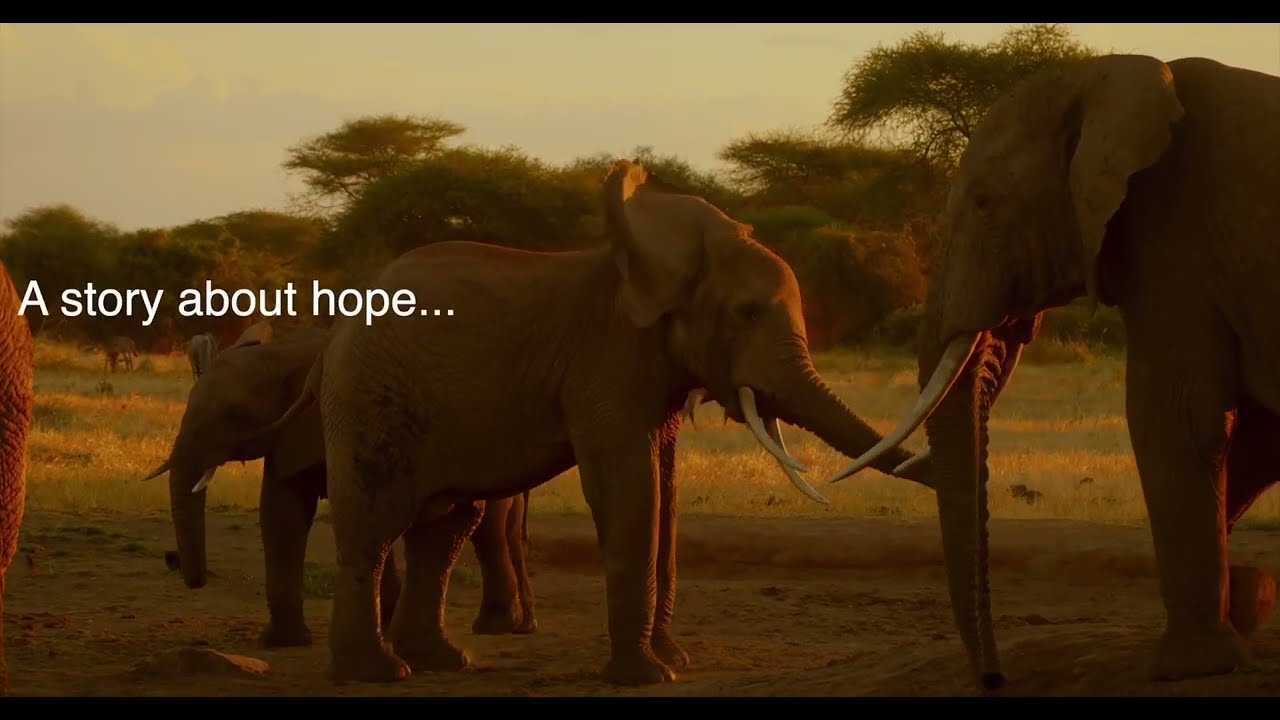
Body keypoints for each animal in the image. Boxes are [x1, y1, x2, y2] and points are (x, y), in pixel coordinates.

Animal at [143, 326, 538, 648]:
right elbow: (282, 512)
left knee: (488, 531)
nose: (176, 563)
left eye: (233, 415)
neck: (279, 354)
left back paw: (494, 627)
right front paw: (284, 642)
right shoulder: (291, 434)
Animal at [251, 159, 929, 686]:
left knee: (444, 528)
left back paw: (443, 662)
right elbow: (627, 487)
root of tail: (332, 341)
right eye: (745, 313)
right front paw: (648, 675)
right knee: (376, 524)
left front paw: (673, 660)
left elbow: (664, 490)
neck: (658, 254)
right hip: (369, 398)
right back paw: (376, 673)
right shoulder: (606, 358)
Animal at [830, 55, 1280, 691]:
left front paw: (1187, 666)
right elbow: (1255, 436)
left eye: (985, 204)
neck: (1107, 77)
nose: (994, 680)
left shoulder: (1174, 241)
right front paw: (1245, 599)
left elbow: (1177, 419)